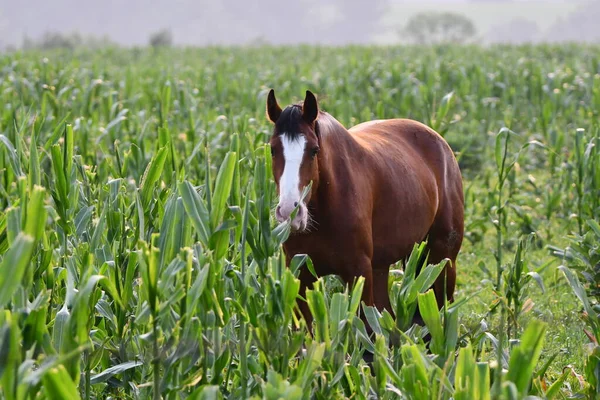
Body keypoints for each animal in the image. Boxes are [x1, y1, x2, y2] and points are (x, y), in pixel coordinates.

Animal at [264, 89, 466, 330]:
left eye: (314, 150)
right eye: (273, 149)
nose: (290, 213)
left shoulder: (358, 272)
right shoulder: (300, 275)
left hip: (443, 259)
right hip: (386, 266)